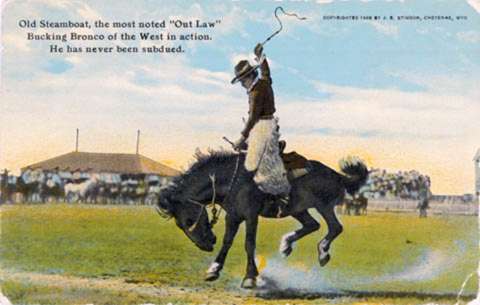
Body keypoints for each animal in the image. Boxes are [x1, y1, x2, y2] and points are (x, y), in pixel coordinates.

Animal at [157, 149, 368, 288]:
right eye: (180, 225)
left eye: (189, 220)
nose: (206, 245)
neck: (234, 179)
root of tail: (337, 175)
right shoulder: (233, 216)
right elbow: (227, 242)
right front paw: (213, 270)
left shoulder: (251, 215)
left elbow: (249, 243)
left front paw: (250, 278)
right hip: (298, 209)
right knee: (313, 225)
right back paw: (286, 245)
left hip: (324, 206)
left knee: (335, 227)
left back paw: (323, 252)